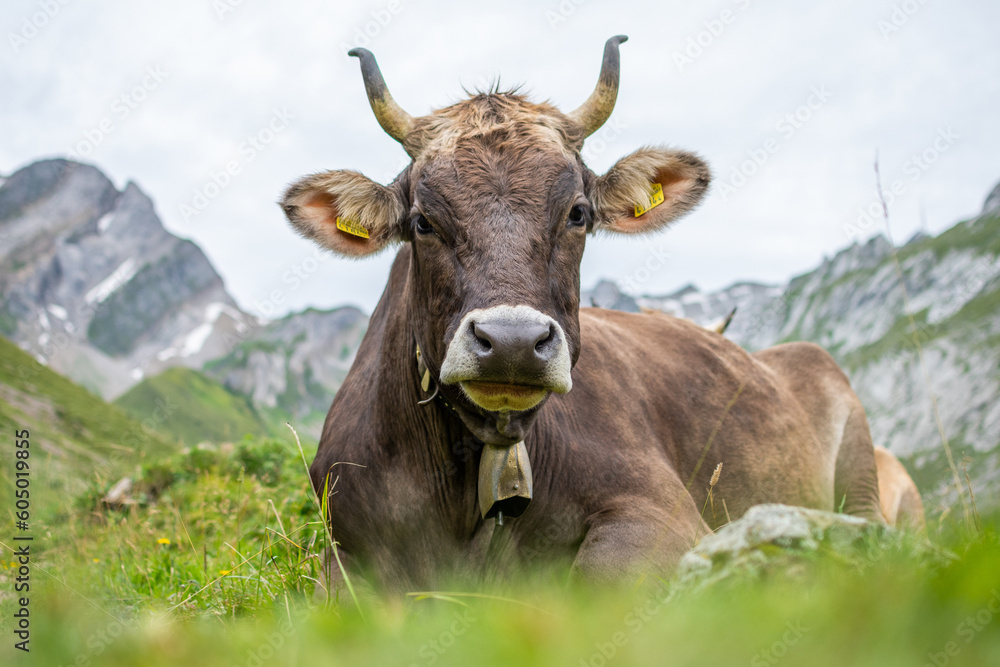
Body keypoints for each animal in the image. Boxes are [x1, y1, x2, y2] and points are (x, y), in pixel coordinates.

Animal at [280, 36, 884, 592]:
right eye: (422, 221)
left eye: (577, 213)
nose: (512, 342)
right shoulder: (341, 554)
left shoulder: (665, 513)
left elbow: (598, 579)